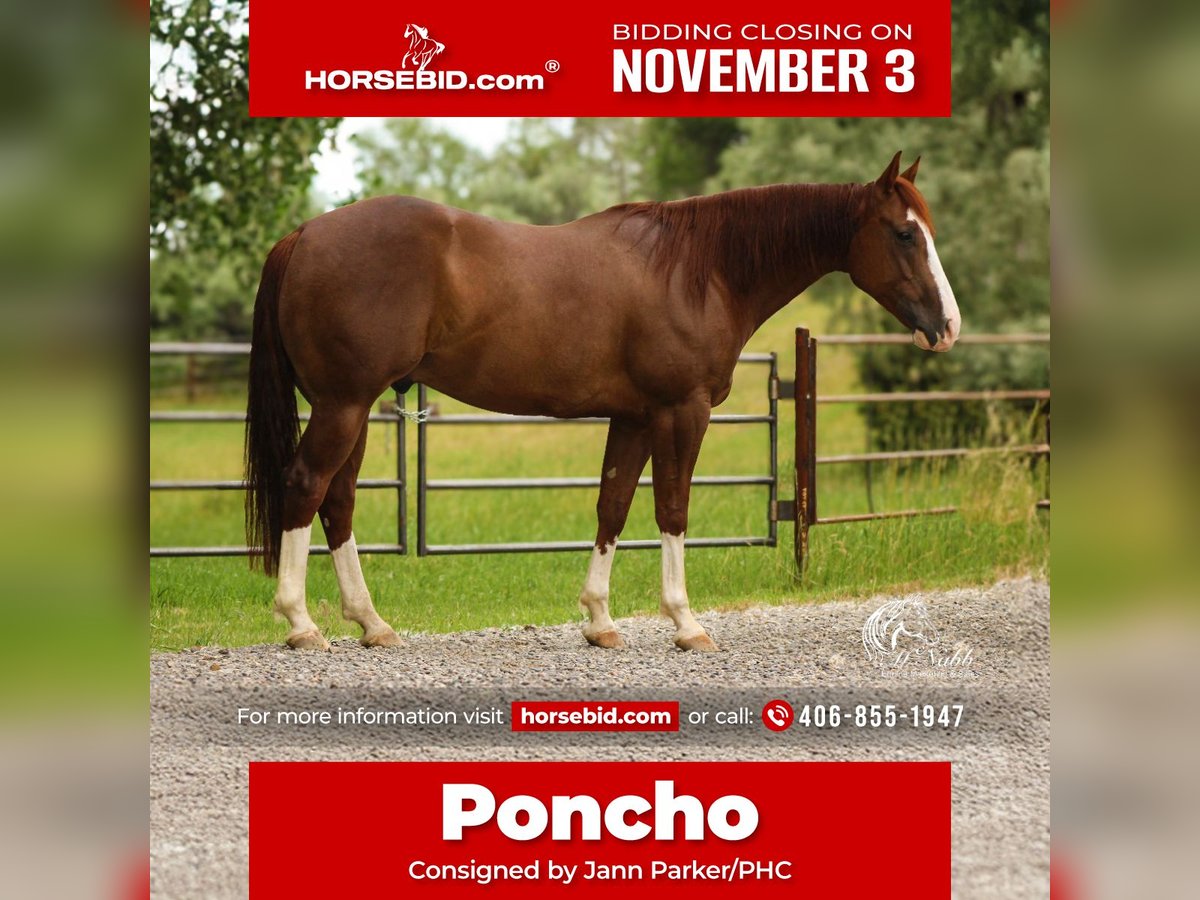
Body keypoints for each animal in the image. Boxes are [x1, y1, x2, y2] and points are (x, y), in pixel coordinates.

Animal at [244, 152, 961, 652]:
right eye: (904, 234)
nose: (948, 326)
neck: (699, 270)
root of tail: (303, 234)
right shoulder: (682, 411)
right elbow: (672, 508)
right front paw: (686, 624)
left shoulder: (635, 417)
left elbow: (612, 505)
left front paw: (599, 621)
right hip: (342, 404)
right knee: (306, 485)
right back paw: (302, 625)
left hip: (352, 406)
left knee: (337, 501)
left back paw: (372, 623)